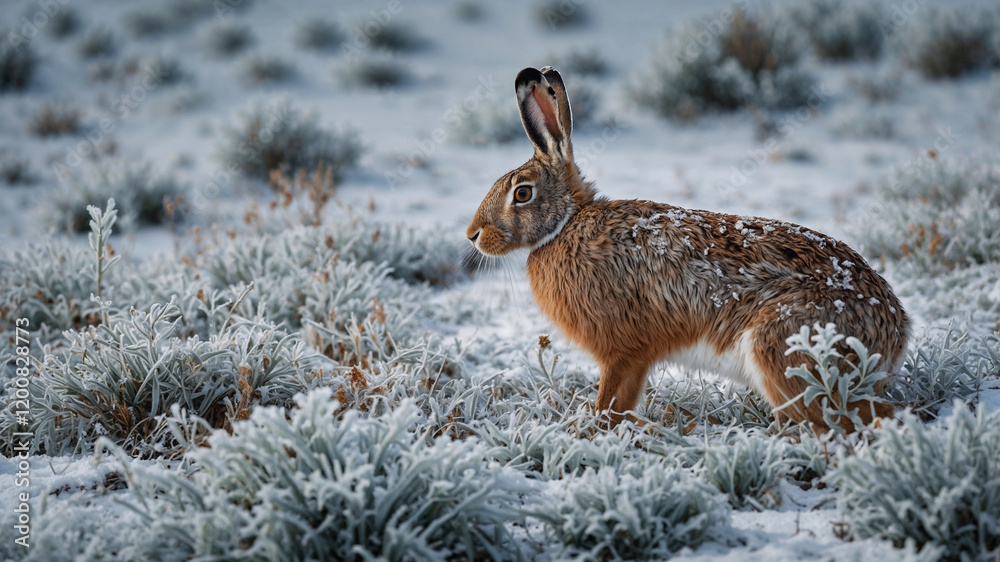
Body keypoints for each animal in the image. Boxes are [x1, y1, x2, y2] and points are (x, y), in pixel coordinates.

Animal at [465, 67, 908, 432]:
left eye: (522, 193)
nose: (472, 234)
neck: (567, 224)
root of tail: (895, 335)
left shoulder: (622, 351)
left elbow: (610, 401)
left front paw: (596, 429)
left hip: (781, 349)